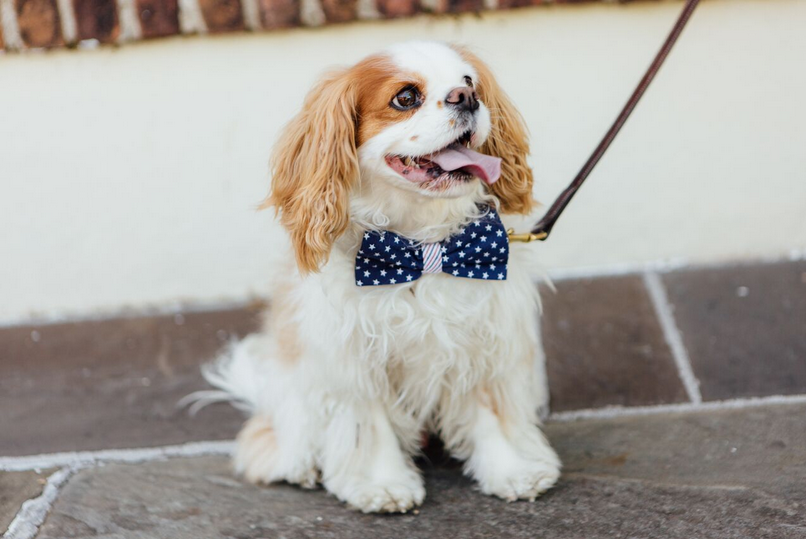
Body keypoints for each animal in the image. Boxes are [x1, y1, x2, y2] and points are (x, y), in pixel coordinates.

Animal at [196, 42, 560, 516]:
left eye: (469, 82)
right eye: (406, 97)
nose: (466, 98)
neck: (422, 247)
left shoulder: (485, 339)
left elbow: (492, 412)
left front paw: (513, 469)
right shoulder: (353, 359)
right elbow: (369, 427)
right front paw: (381, 483)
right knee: (272, 438)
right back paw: (296, 465)